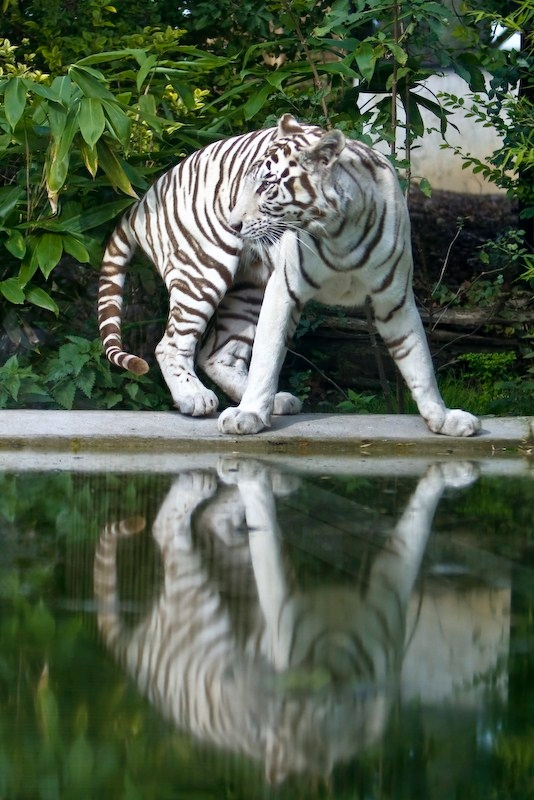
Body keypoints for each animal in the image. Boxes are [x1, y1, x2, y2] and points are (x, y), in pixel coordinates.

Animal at [98, 114, 480, 437]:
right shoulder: (284, 290)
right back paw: (196, 398)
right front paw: (248, 414)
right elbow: (267, 357)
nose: (232, 223)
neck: (339, 232)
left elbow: (420, 362)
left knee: (218, 354)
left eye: (267, 186)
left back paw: (275, 401)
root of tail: (144, 198)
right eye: (245, 184)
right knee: (170, 345)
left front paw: (444, 419)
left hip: (248, 290)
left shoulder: (395, 299)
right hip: (203, 272)